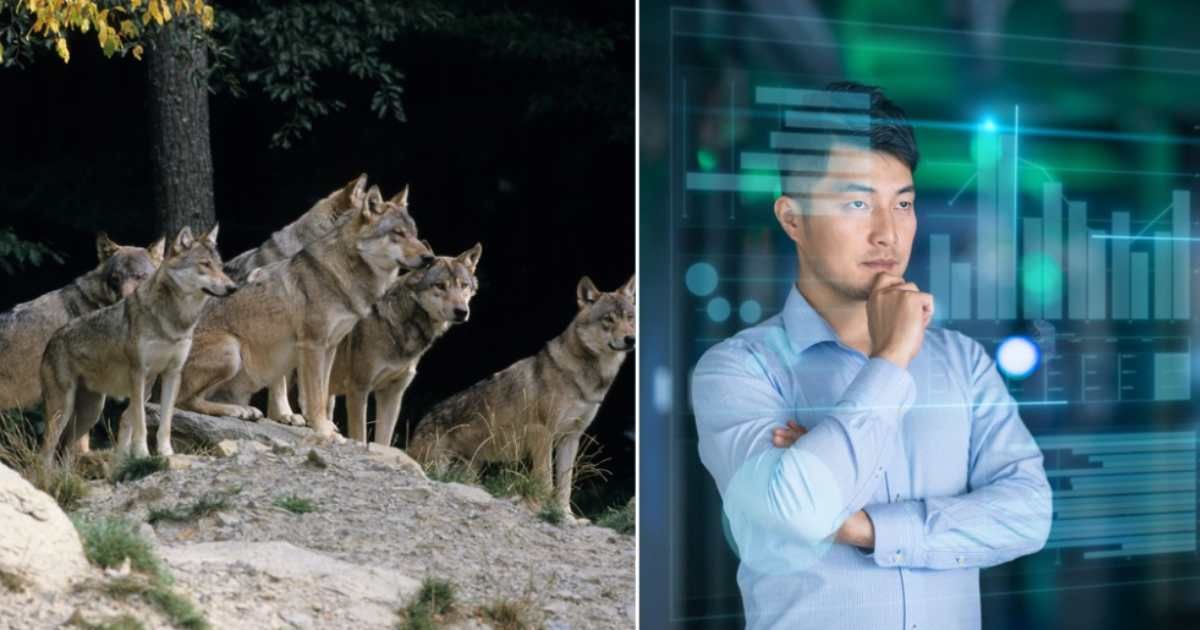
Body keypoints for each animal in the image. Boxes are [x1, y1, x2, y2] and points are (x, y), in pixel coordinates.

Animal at [39, 225, 237, 465]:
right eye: (204, 264)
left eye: (220, 266)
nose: (233, 287)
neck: (175, 321)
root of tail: (52, 339)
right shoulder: (139, 374)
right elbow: (140, 422)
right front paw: (143, 454)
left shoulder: (172, 374)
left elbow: (164, 422)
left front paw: (166, 453)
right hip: (63, 411)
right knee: (45, 451)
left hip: (91, 412)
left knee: (67, 451)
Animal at [176, 185, 434, 436]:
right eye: (398, 233)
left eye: (415, 233)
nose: (429, 257)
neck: (341, 276)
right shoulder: (312, 345)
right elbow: (315, 396)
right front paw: (323, 431)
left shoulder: (330, 347)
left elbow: (323, 393)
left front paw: (324, 426)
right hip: (232, 350)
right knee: (183, 402)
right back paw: (237, 411)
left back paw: (244, 410)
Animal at [328, 244, 482, 447]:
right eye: (440, 285)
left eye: (463, 285)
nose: (462, 312)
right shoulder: (358, 389)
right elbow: (360, 437)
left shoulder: (392, 394)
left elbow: (383, 441)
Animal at [408, 274, 635, 517]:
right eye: (608, 319)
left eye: (630, 317)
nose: (631, 339)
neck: (588, 378)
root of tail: (421, 423)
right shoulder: (542, 434)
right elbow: (546, 480)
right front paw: (543, 508)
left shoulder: (571, 438)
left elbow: (565, 486)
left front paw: (566, 515)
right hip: (439, 465)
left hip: (471, 468)